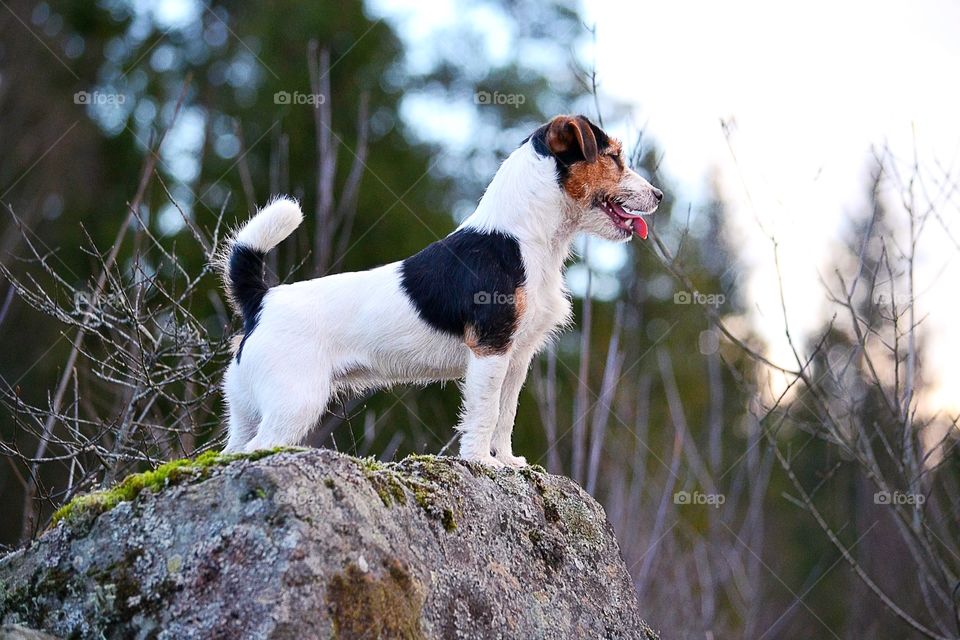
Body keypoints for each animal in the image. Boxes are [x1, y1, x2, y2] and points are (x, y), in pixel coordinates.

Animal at [221, 115, 664, 464]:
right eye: (613, 157)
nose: (659, 195)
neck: (522, 237)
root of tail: (260, 301)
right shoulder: (490, 349)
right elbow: (484, 413)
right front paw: (482, 463)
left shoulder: (516, 358)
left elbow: (505, 415)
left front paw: (508, 462)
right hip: (296, 402)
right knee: (255, 449)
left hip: (246, 408)